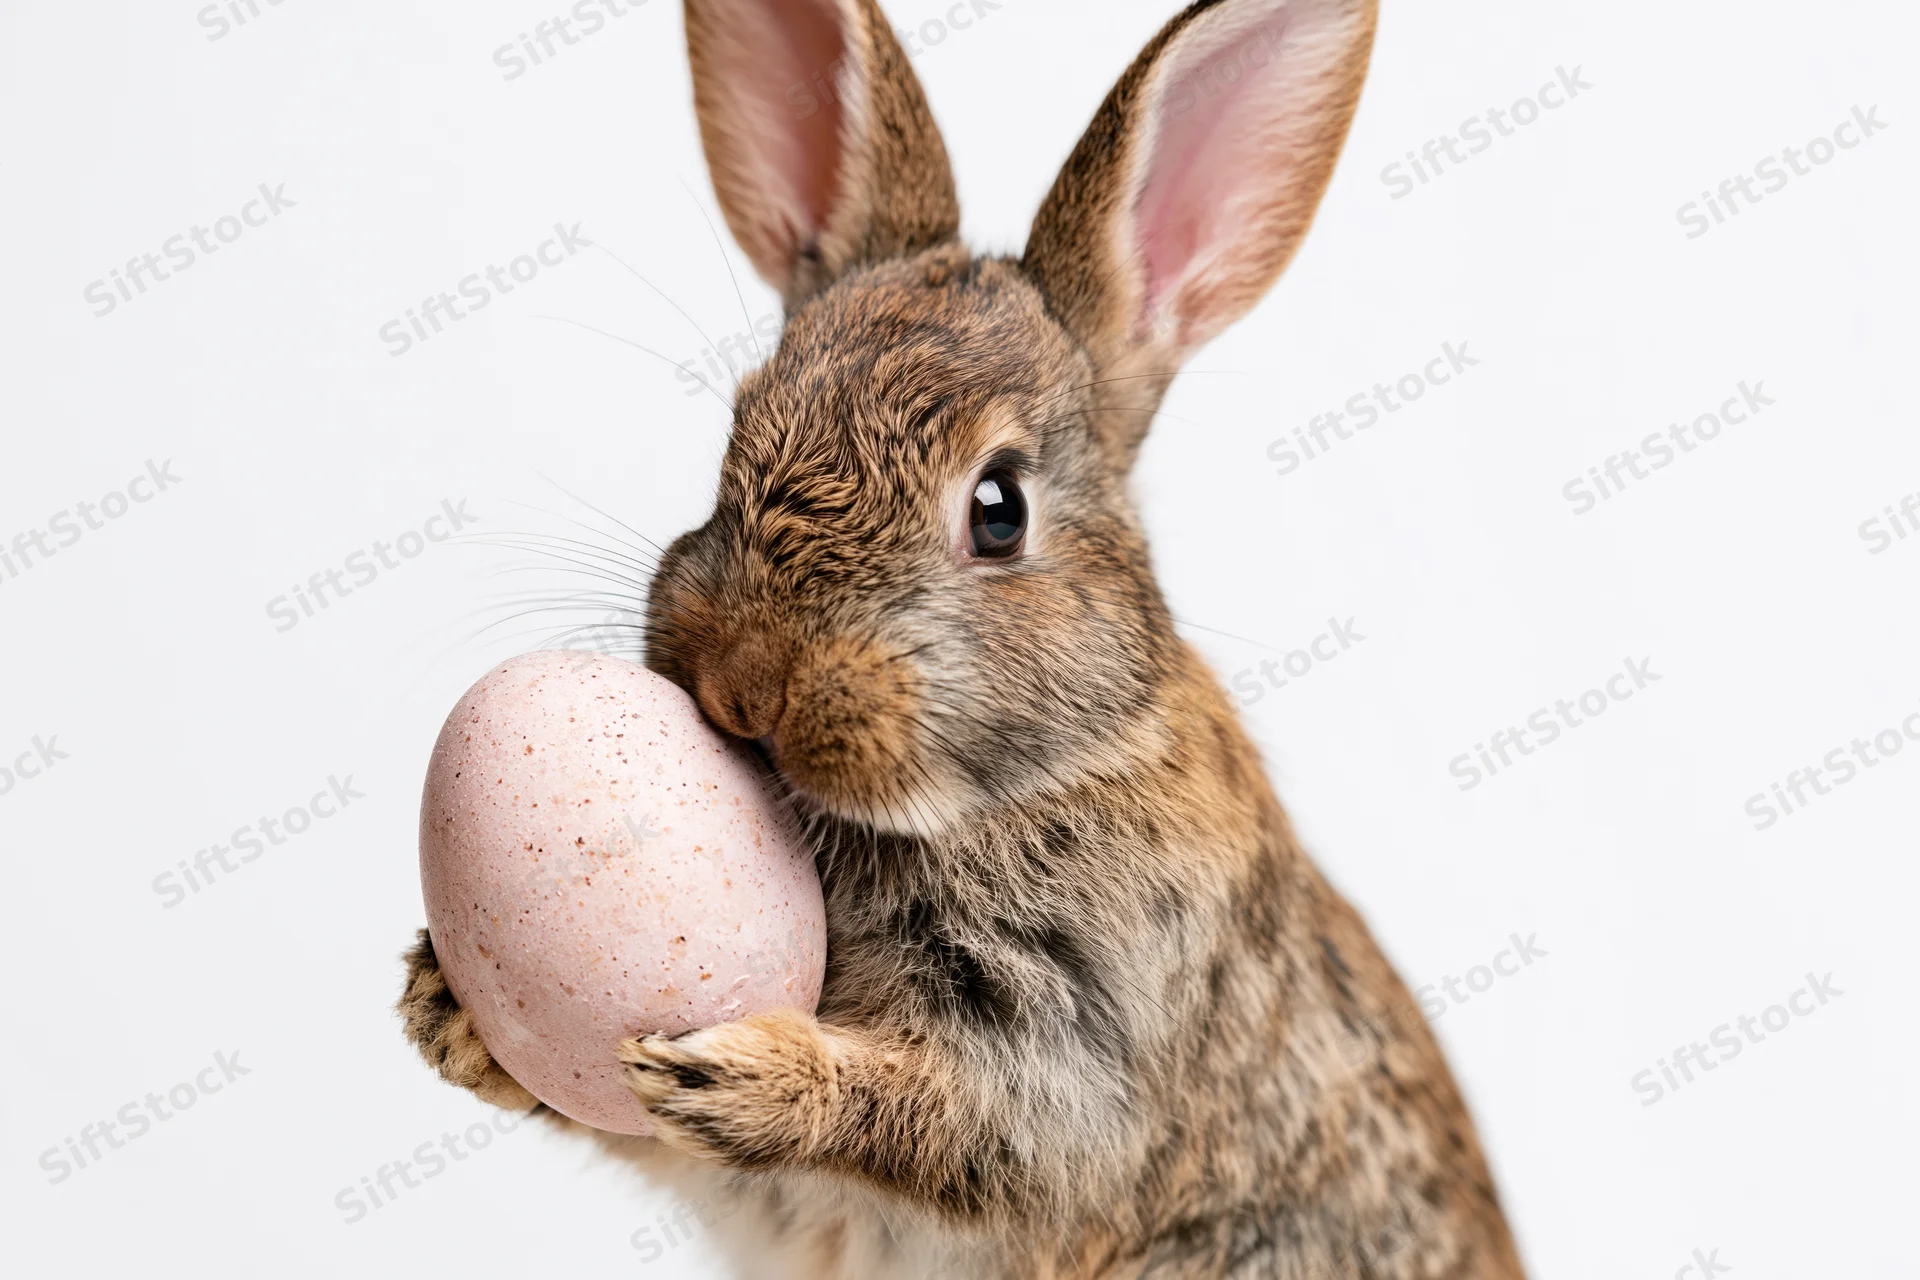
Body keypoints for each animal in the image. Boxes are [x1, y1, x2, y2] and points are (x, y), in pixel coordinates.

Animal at [400, 0, 1530, 1275]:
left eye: (999, 508)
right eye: (739, 424)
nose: (748, 681)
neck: (1026, 776)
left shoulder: (1087, 1058)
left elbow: (958, 1118)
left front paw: (745, 1075)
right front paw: (449, 1010)